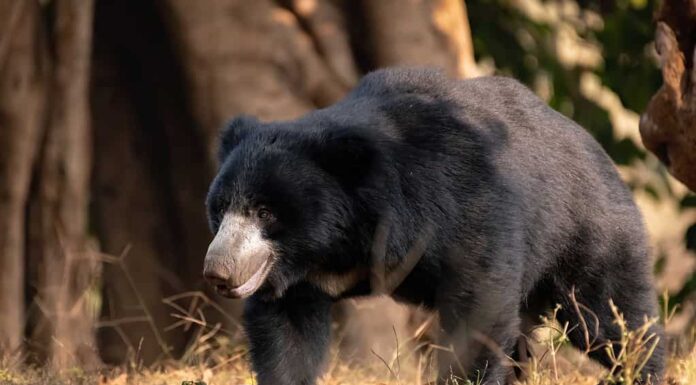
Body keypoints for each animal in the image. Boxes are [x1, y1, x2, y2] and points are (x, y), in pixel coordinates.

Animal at [201, 67, 664, 382]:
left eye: (266, 212)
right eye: (220, 209)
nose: (218, 271)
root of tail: (597, 149)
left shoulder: (461, 201)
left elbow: (477, 305)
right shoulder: (296, 277)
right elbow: (286, 334)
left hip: (587, 236)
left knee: (613, 318)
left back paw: (641, 367)